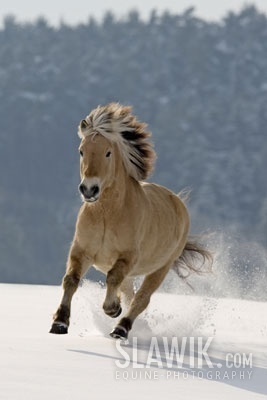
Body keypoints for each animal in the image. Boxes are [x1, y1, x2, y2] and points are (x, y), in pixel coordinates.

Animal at [49, 101, 214, 340]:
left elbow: (112, 279)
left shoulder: (127, 257)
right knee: (129, 292)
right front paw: (60, 323)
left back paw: (121, 328)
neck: (107, 214)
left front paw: (112, 309)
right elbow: (70, 280)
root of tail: (178, 202)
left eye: (108, 153)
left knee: (141, 298)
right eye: (81, 151)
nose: (89, 189)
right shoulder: (82, 250)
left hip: (161, 267)